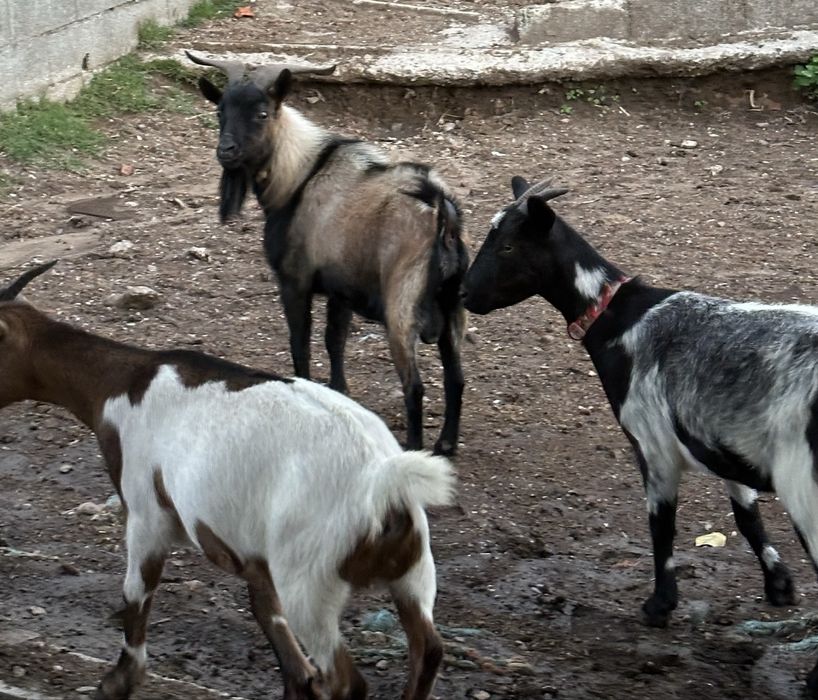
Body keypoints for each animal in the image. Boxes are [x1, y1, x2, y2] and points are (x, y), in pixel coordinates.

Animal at [0, 261, 455, 700]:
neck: (123, 385)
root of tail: (382, 480)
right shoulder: (251, 552)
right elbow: (271, 621)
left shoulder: (147, 514)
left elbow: (136, 594)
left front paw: (117, 682)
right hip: (413, 571)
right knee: (427, 649)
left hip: (310, 578)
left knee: (349, 681)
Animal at [187, 51, 469, 456]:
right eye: (220, 110)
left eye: (262, 113)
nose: (226, 151)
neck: (299, 177)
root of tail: (441, 214)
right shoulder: (342, 291)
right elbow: (334, 341)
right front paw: (340, 392)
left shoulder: (295, 281)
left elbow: (300, 344)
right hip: (453, 311)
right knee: (456, 378)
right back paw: (446, 443)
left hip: (401, 311)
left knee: (414, 387)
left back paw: (414, 447)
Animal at [460, 176, 818, 694]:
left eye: (507, 245)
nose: (465, 293)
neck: (620, 320)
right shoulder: (720, 442)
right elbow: (745, 515)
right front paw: (779, 586)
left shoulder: (653, 443)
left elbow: (661, 523)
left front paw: (658, 606)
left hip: (804, 485)